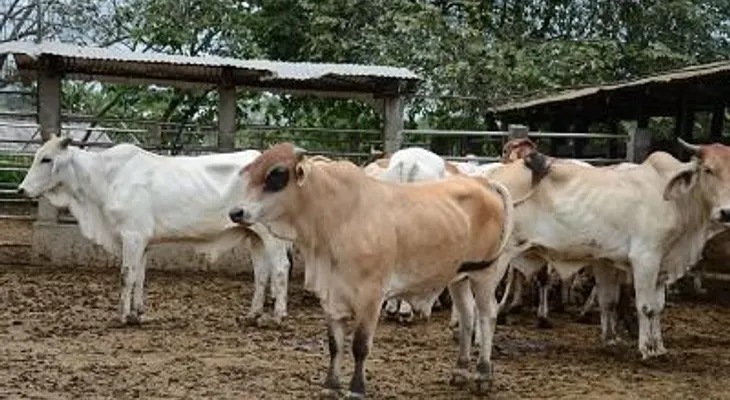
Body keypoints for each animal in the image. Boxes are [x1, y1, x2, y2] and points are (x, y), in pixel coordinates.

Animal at [17, 134, 292, 326]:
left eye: (46, 158)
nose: (21, 189)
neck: (105, 179)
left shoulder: (131, 236)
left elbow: (126, 275)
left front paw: (122, 316)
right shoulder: (142, 241)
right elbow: (139, 275)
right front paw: (137, 314)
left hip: (271, 236)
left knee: (280, 269)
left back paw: (277, 317)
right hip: (254, 237)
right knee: (261, 274)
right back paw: (252, 316)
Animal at [228, 142, 516, 397]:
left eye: (277, 174)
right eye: (252, 171)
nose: (236, 212)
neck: (337, 219)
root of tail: (482, 183)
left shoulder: (371, 296)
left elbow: (360, 346)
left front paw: (356, 389)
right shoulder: (331, 294)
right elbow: (335, 344)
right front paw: (330, 386)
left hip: (485, 274)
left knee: (487, 316)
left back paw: (483, 374)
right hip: (459, 276)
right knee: (467, 316)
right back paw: (460, 371)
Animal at [485, 138, 730, 359]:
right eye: (708, 170)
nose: (726, 212)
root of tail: (487, 178)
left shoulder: (652, 264)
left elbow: (641, 305)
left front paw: (652, 346)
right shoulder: (645, 258)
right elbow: (646, 306)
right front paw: (647, 349)